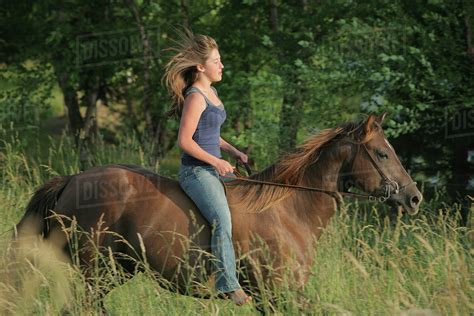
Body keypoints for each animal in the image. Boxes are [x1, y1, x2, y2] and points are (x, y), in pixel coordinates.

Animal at [14, 115, 422, 308]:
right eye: (383, 153)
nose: (414, 197)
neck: (290, 210)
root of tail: (72, 180)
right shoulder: (281, 292)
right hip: (95, 272)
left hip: (113, 272)